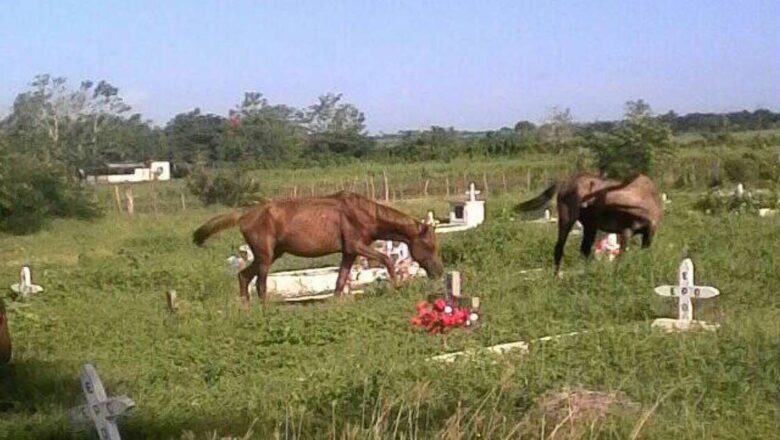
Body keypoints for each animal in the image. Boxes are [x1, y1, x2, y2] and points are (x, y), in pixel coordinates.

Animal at [192, 191, 442, 304]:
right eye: (428, 245)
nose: (439, 272)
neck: (367, 214)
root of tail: (243, 216)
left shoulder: (349, 252)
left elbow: (341, 280)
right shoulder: (357, 245)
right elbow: (387, 259)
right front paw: (397, 287)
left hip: (271, 254)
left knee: (244, 276)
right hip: (265, 255)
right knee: (260, 283)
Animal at [516, 173, 660, 274]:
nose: (583, 204)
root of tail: (564, 182)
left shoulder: (647, 232)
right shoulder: (627, 231)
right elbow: (621, 257)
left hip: (589, 225)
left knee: (584, 249)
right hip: (568, 220)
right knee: (560, 248)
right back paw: (557, 277)